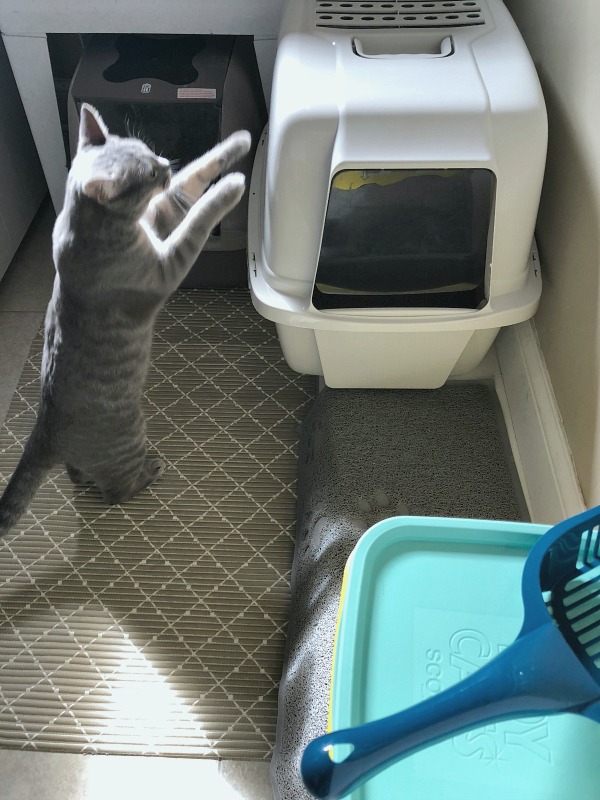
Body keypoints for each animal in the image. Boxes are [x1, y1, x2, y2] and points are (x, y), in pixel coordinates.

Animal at [0, 103, 251, 536]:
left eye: (150, 152)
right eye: (148, 174)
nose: (165, 163)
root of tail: (43, 434)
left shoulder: (160, 214)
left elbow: (196, 173)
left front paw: (238, 143)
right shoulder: (168, 264)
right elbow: (198, 216)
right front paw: (231, 187)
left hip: (84, 460)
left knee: (78, 474)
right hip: (130, 441)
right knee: (116, 492)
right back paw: (150, 472)